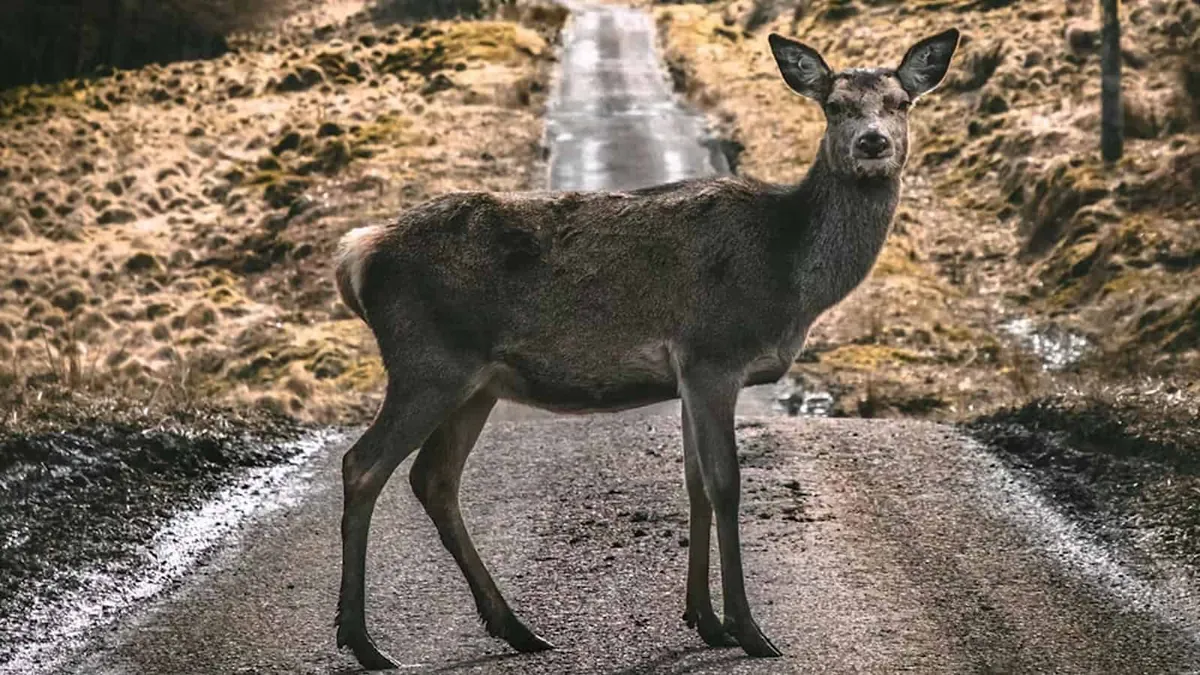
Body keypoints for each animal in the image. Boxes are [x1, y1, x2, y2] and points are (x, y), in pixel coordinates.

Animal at [332, 27, 960, 668]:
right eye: (834, 105)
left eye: (901, 102)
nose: (872, 142)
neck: (787, 274)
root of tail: (357, 253)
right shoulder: (713, 353)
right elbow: (726, 484)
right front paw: (748, 629)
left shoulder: (686, 375)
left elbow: (695, 484)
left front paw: (704, 620)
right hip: (427, 362)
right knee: (363, 465)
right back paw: (362, 641)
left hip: (474, 382)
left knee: (434, 479)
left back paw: (515, 628)